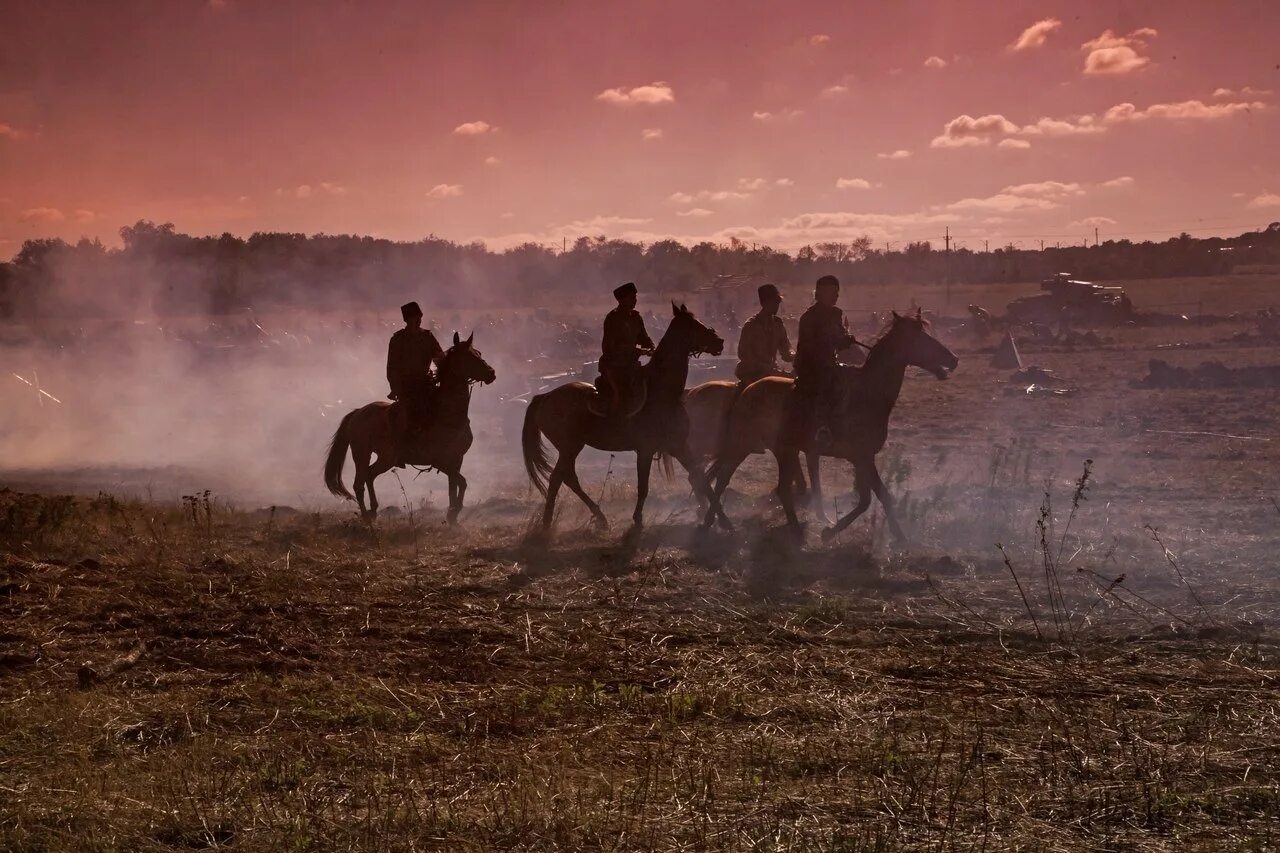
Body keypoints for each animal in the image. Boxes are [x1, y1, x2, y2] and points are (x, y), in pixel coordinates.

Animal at [325, 330, 494, 517]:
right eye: (469, 356)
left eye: (479, 353)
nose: (491, 373)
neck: (448, 415)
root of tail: (358, 413)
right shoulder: (440, 461)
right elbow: (461, 482)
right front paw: (455, 510)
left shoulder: (456, 460)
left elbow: (454, 486)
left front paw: (453, 515)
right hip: (363, 454)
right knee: (359, 483)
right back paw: (367, 516)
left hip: (384, 458)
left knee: (369, 476)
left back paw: (374, 509)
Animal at [517, 303, 721, 532]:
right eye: (693, 325)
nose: (720, 342)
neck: (661, 391)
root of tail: (545, 397)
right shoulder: (646, 450)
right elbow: (644, 487)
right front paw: (637, 519)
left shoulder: (679, 446)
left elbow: (702, 479)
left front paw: (721, 519)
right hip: (569, 446)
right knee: (558, 478)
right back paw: (548, 522)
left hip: (571, 448)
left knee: (568, 478)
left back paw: (598, 516)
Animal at [701, 311, 962, 537]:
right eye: (920, 338)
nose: (953, 359)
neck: (868, 395)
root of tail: (747, 390)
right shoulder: (861, 457)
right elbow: (868, 499)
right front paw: (829, 532)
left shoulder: (863, 458)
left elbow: (879, 497)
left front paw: (899, 537)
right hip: (745, 444)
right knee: (726, 479)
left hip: (782, 450)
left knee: (758, 485)